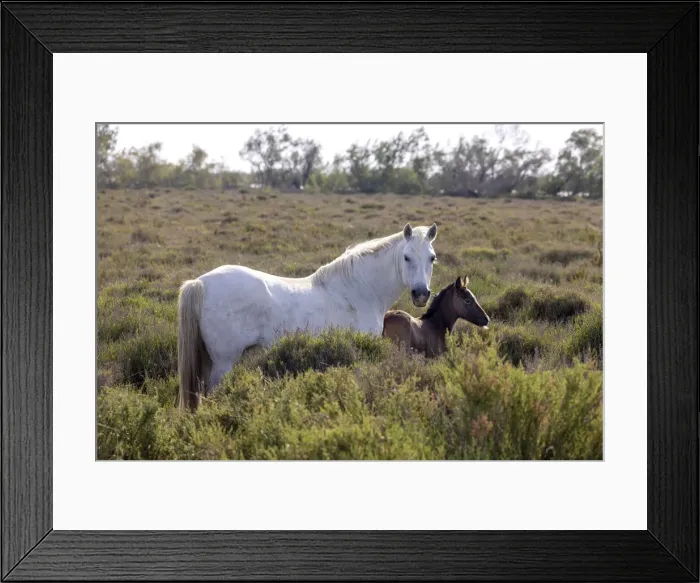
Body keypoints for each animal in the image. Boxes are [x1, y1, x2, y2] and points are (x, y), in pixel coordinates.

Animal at [178, 222, 439, 409]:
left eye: (432, 257)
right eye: (406, 257)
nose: (421, 294)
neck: (359, 289)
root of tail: (200, 283)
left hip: (208, 361)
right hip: (224, 363)